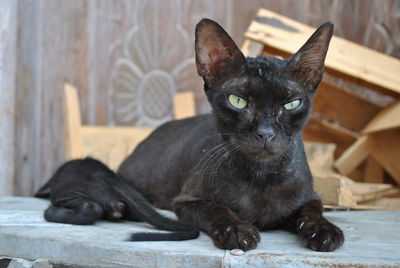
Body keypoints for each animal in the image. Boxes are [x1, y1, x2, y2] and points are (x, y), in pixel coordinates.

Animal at [118, 18, 344, 251]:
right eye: (238, 101)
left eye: (291, 104)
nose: (265, 132)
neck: (261, 178)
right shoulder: (185, 201)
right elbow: (215, 208)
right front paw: (236, 230)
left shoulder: (310, 198)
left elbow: (312, 210)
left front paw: (323, 230)